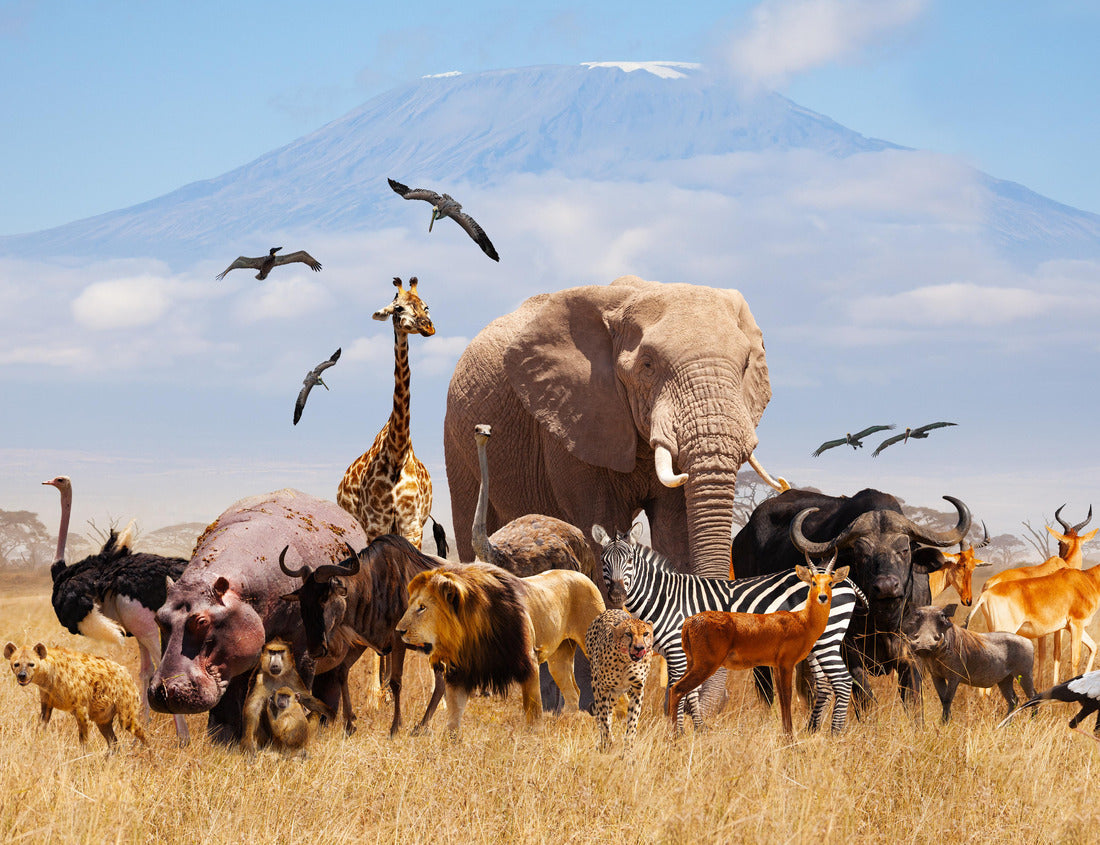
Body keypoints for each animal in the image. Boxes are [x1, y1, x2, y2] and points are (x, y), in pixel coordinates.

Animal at [444, 275, 784, 582]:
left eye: (745, 365)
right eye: (647, 365)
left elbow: (677, 526)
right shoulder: (575, 416)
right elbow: (603, 523)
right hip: (455, 437)